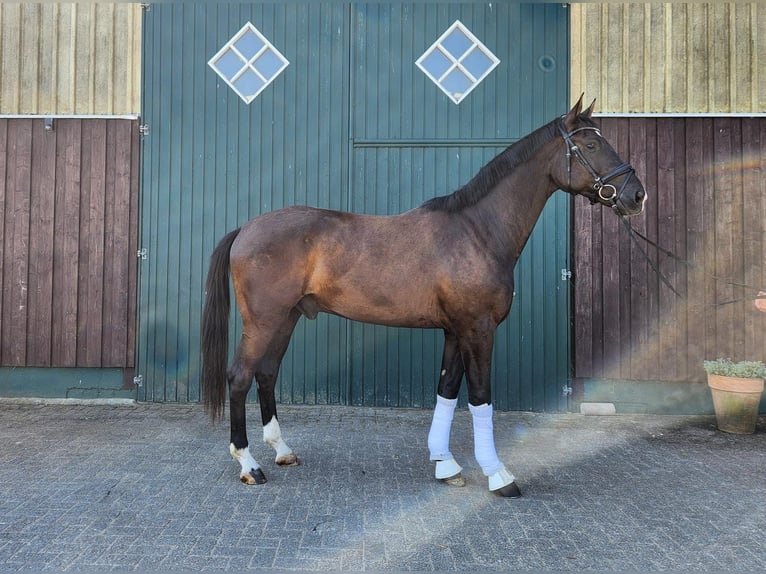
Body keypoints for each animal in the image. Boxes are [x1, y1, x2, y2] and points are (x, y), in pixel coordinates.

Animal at [200, 97, 648, 498]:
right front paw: (498, 475)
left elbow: (446, 391)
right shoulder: (478, 329)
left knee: (266, 374)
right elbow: (481, 398)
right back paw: (249, 465)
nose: (636, 195)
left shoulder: (454, 331)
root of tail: (245, 229)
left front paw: (445, 465)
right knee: (239, 376)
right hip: (265, 321)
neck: (477, 231)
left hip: (287, 317)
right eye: (591, 145)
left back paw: (282, 451)